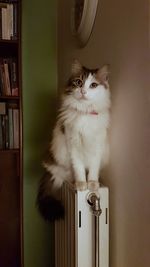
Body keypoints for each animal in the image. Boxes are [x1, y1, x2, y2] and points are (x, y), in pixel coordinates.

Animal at [37, 60, 110, 222]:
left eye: (93, 85)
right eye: (78, 82)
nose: (83, 91)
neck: (85, 113)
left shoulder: (97, 146)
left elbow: (93, 169)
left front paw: (93, 183)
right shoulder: (73, 144)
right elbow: (79, 168)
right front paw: (81, 184)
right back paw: (72, 181)